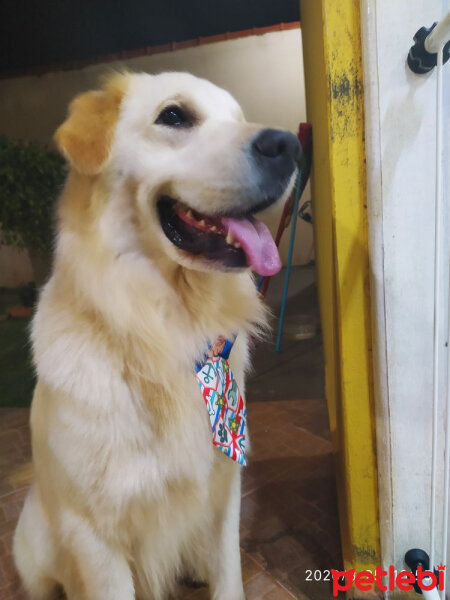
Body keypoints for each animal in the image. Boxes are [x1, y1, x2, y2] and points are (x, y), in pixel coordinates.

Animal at [14, 71, 300, 600]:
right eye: (174, 116)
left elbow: (228, 577)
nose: (289, 145)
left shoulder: (224, 491)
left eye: (238, 116)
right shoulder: (93, 534)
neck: (165, 330)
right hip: (35, 545)